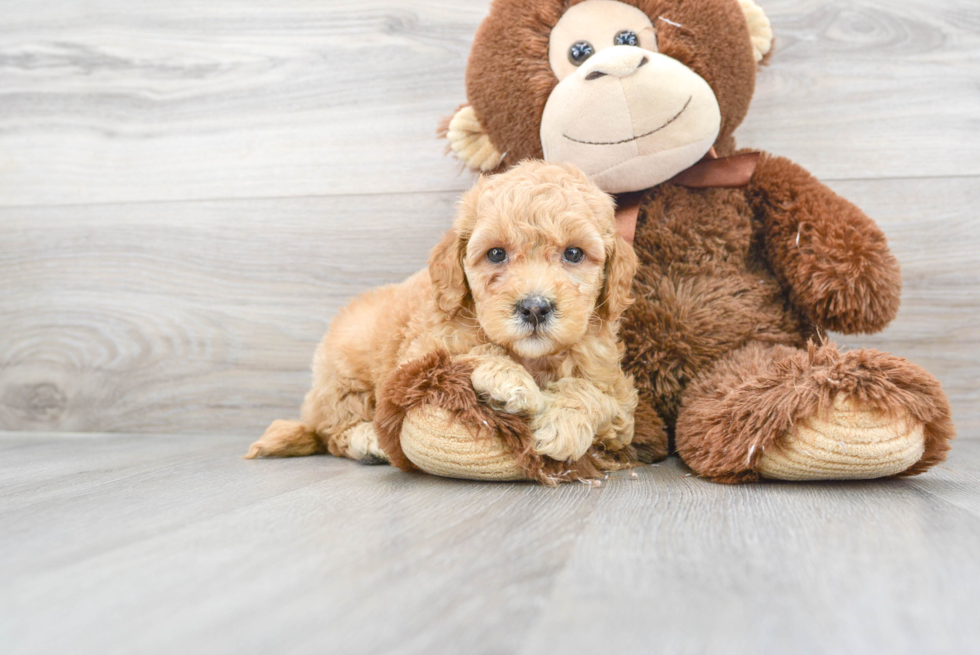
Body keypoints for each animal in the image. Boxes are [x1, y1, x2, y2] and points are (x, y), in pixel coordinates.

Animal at [249, 160, 640, 466]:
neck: (534, 358)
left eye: (574, 254)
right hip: (343, 376)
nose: (534, 307)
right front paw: (509, 381)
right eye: (496, 254)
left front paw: (561, 424)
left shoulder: (620, 400)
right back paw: (369, 441)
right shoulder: (418, 358)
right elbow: (473, 350)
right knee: (334, 431)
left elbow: (595, 395)